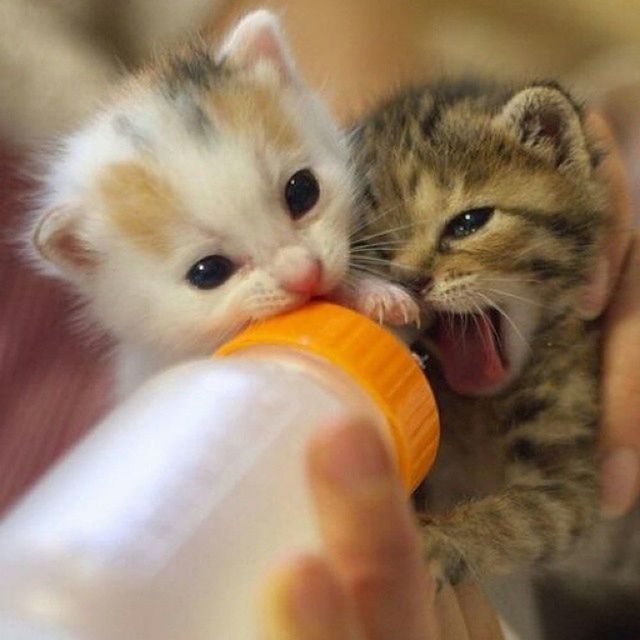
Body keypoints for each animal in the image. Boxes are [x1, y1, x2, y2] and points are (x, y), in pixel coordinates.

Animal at [348, 79, 616, 584]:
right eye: (373, 249)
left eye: (468, 223)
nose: (410, 281)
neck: (479, 408)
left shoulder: (570, 485)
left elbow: (517, 517)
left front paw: (441, 540)